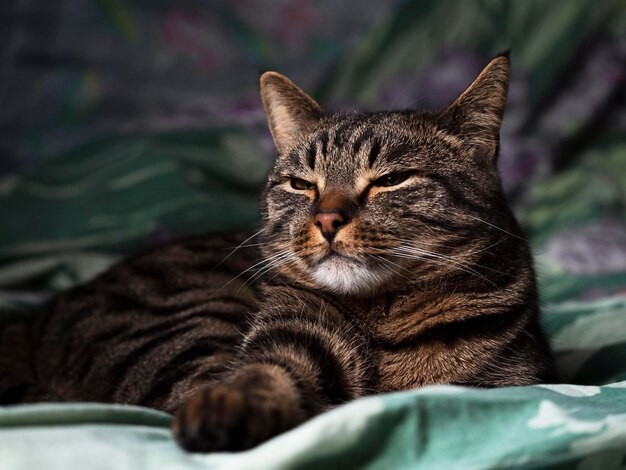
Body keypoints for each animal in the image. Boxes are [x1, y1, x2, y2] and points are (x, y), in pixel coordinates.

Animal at [0, 53, 552, 454]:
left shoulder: (512, 382)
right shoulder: (290, 328)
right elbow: (264, 370)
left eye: (392, 179)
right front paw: (229, 407)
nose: (327, 220)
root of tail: (33, 318)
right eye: (301, 184)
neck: (384, 321)